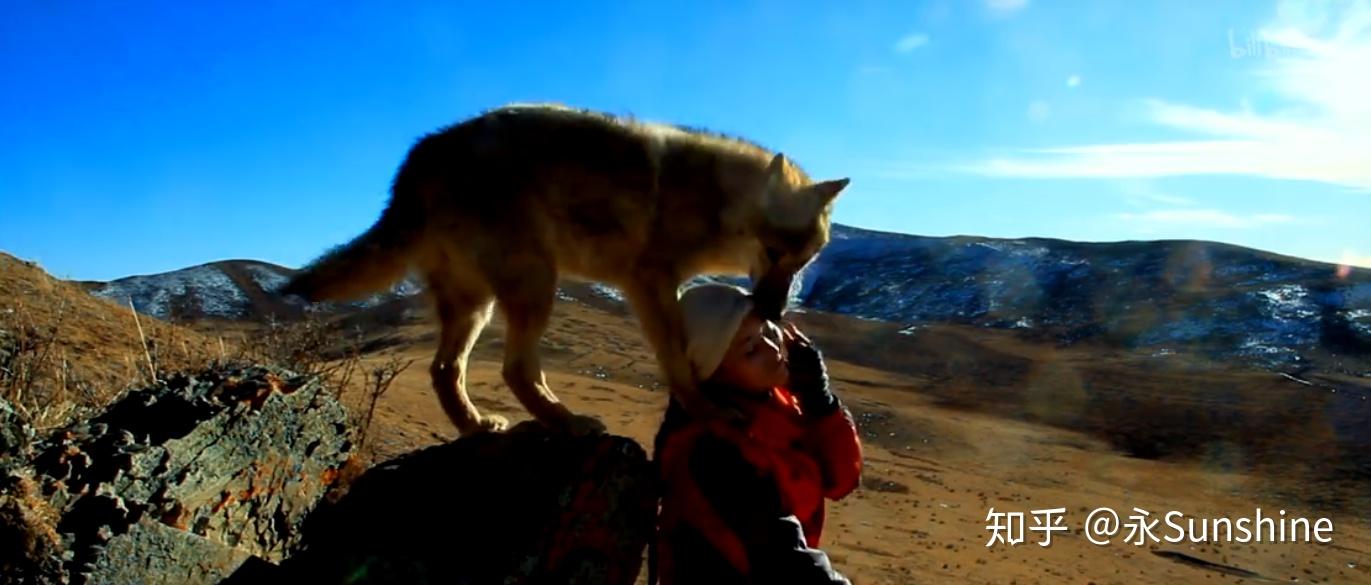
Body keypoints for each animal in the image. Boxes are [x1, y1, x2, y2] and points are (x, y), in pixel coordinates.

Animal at [281, 102, 844, 438]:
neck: (713, 201)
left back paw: (478, 426)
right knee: (514, 369)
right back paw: (569, 422)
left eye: (803, 262)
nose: (772, 311)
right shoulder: (650, 284)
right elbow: (680, 367)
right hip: (534, 287)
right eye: (772, 251)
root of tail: (419, 159)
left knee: (445, 370)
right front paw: (707, 412)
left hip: (479, 305)